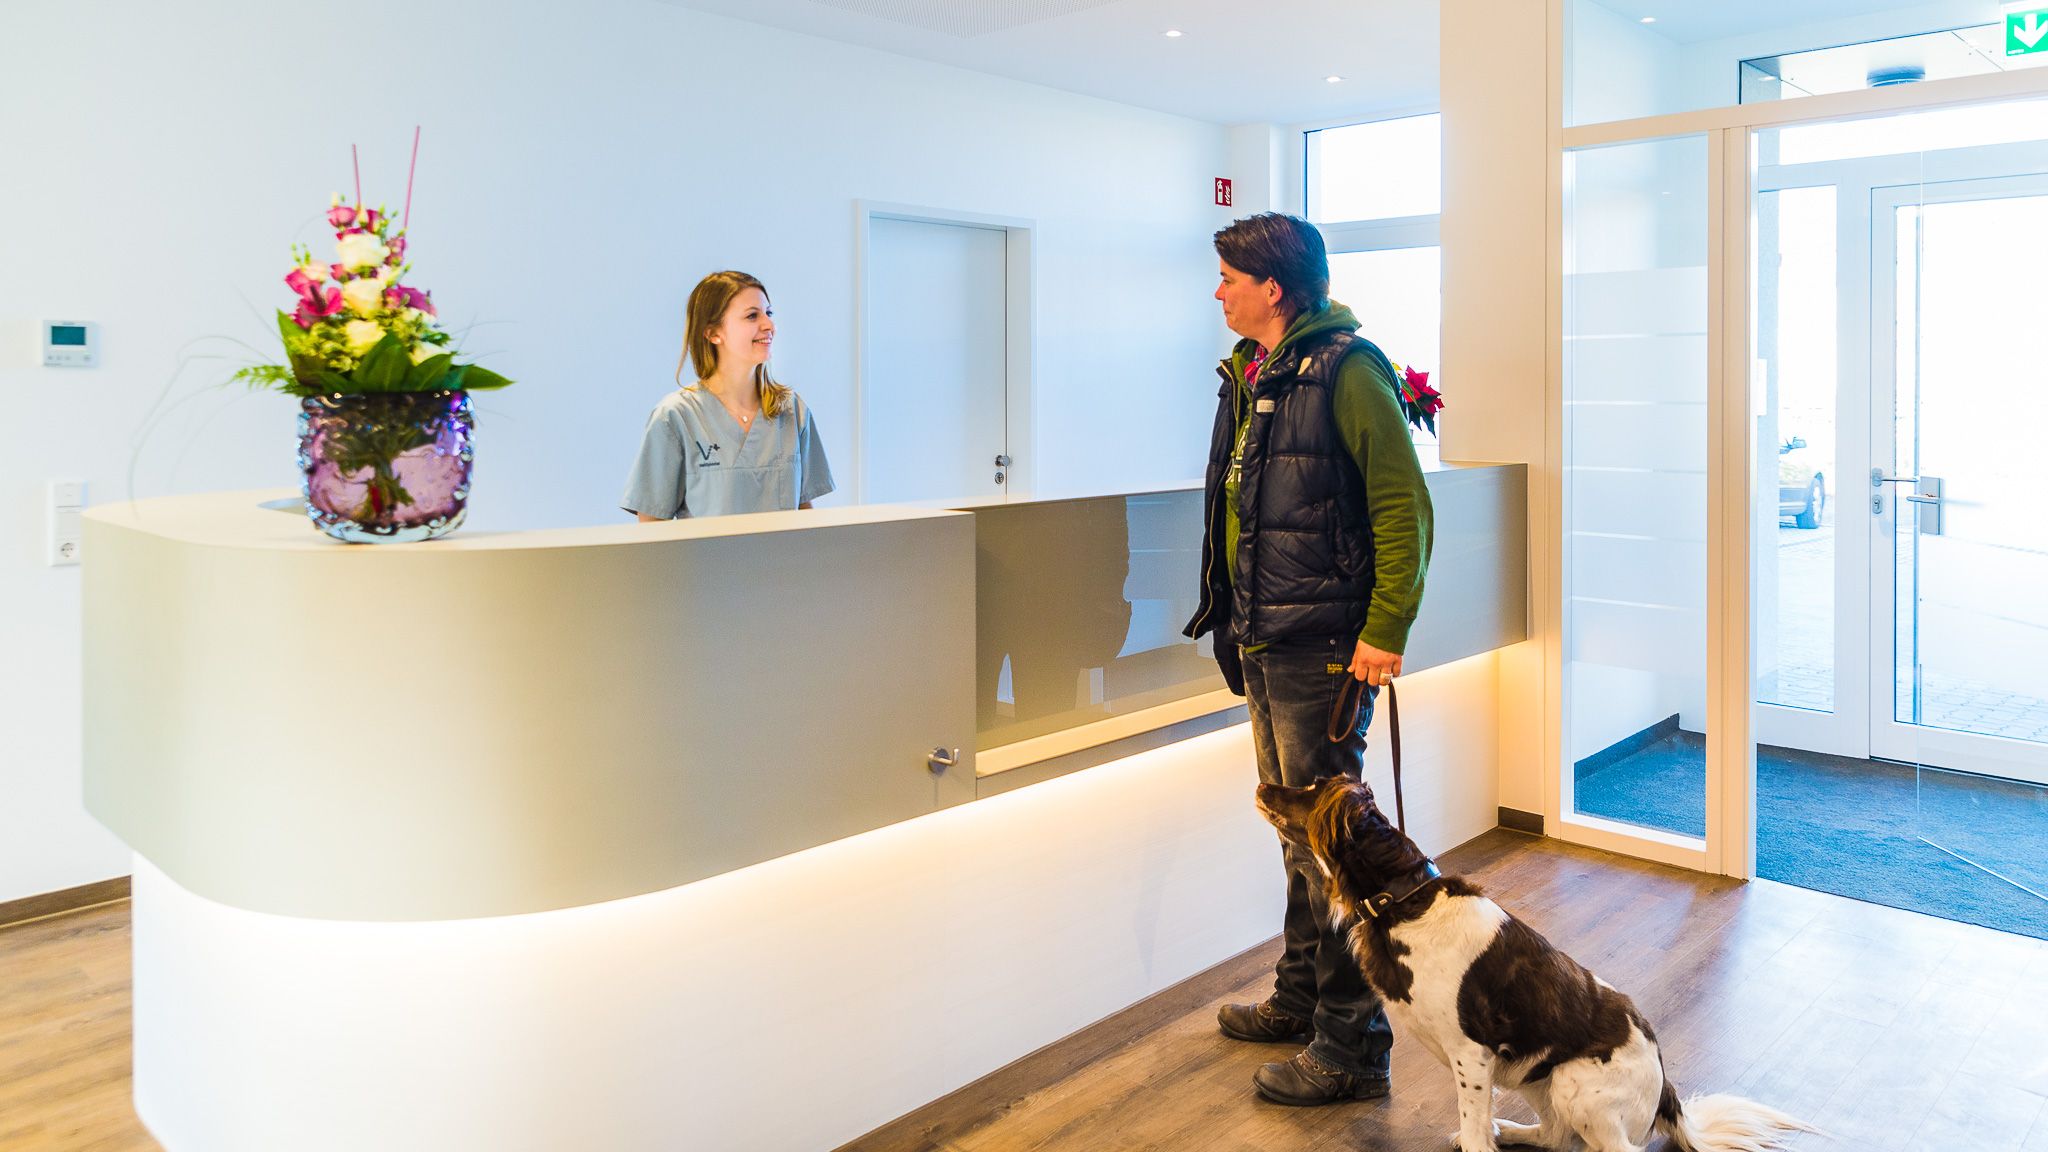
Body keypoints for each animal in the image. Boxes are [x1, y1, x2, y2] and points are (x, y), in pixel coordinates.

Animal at [1255, 774, 1816, 1152]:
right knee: (1552, 1136)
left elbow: (1475, 1127)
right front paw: (1485, 1131)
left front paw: (1478, 1136)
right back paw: (1512, 1130)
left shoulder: (1472, 1053)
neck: (1407, 900)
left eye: (1308, 790)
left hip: (1573, 1082)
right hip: (1538, 1079)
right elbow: (1482, 1125)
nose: (1263, 783)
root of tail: (1665, 1089)